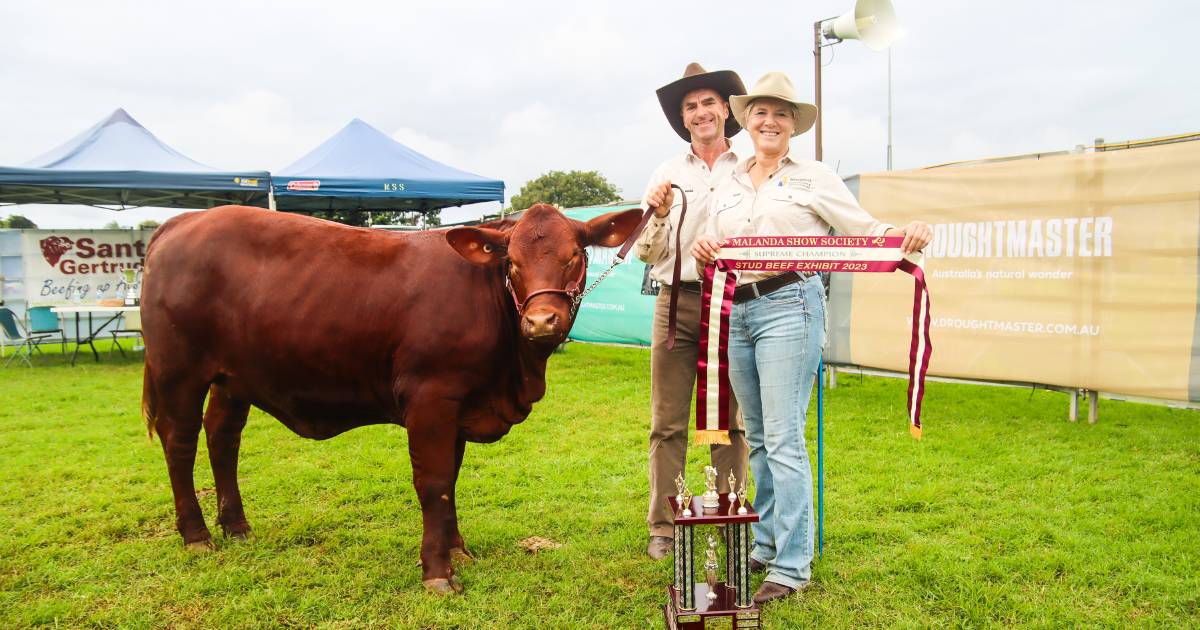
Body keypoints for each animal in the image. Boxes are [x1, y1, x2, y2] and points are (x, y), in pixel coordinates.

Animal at [140, 204, 643, 592]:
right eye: (512, 263)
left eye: (575, 256)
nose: (541, 321)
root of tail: (183, 221)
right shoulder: (431, 398)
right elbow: (434, 482)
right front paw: (437, 572)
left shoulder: (460, 406)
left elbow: (451, 480)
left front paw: (457, 550)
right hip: (179, 371)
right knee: (179, 443)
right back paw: (197, 534)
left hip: (232, 379)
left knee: (223, 439)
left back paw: (237, 527)